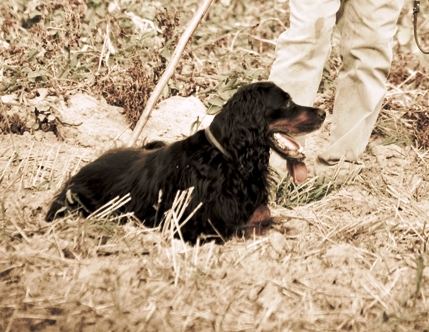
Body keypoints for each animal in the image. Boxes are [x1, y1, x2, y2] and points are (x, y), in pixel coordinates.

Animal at [45, 81, 324, 243]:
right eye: (286, 101)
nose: (322, 113)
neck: (227, 157)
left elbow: (266, 214)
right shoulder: (198, 225)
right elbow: (252, 224)